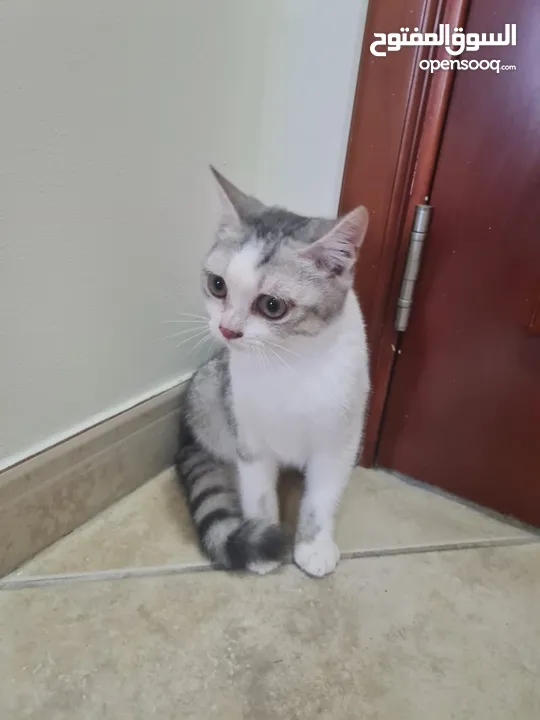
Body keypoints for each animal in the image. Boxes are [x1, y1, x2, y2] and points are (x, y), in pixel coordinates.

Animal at [175, 166, 370, 576]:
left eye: (272, 306)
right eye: (217, 285)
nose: (228, 329)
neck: (289, 363)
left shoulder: (339, 438)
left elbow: (321, 498)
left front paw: (313, 545)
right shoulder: (249, 437)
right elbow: (259, 491)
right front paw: (262, 542)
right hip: (209, 393)